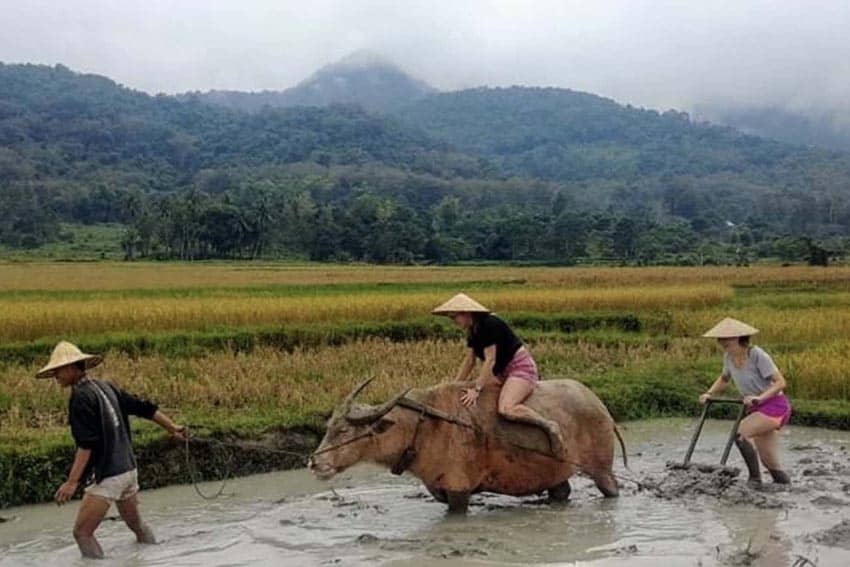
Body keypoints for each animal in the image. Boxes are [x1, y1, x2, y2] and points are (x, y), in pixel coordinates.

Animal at [310, 378, 624, 516]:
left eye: (343, 430)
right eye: (328, 427)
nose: (314, 462)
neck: (424, 427)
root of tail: (599, 405)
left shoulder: (459, 488)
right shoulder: (438, 486)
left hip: (602, 470)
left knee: (611, 489)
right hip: (555, 474)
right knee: (562, 491)